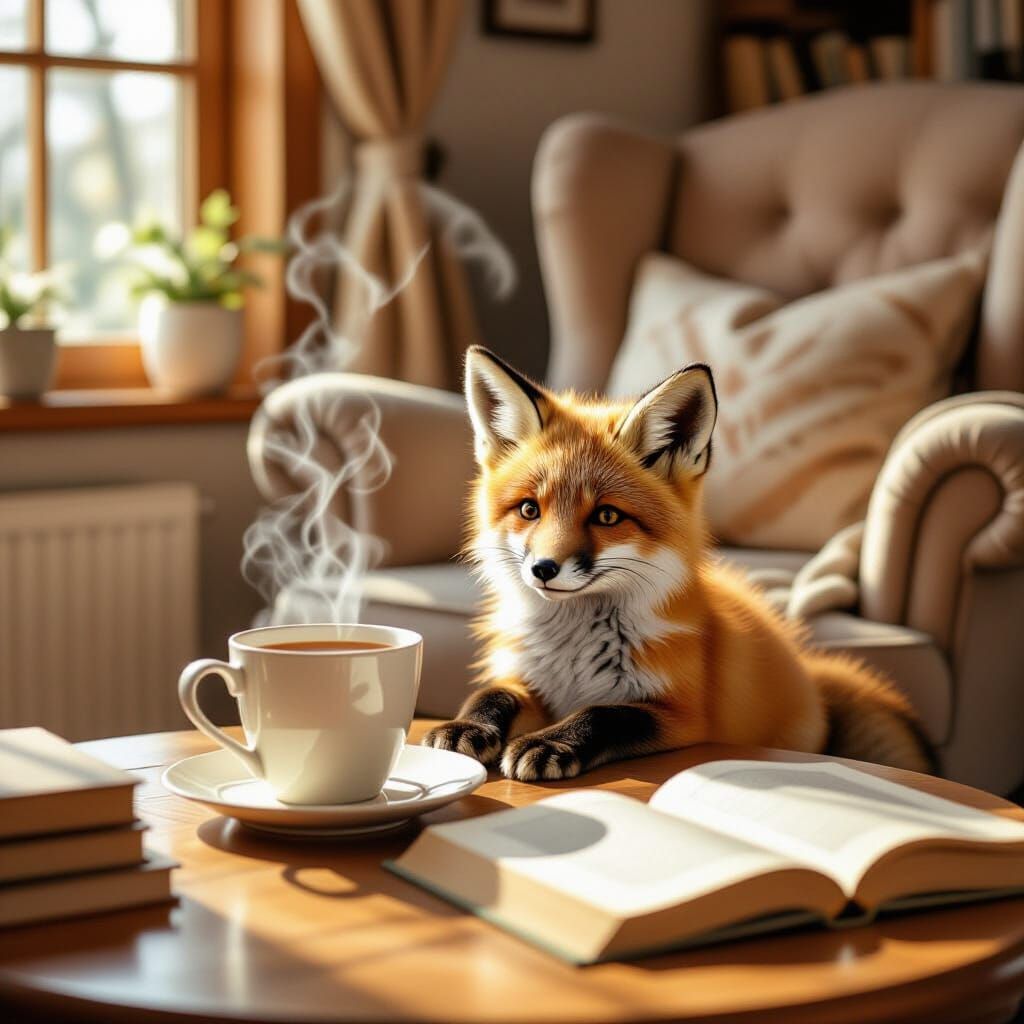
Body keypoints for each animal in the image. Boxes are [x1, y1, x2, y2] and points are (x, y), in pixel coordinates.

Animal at [423, 345, 934, 782]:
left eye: (607, 516)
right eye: (530, 509)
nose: (543, 569)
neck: (574, 656)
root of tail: (805, 669)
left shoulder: (684, 716)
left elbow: (602, 713)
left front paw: (550, 743)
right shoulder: (525, 677)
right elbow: (491, 692)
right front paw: (468, 726)